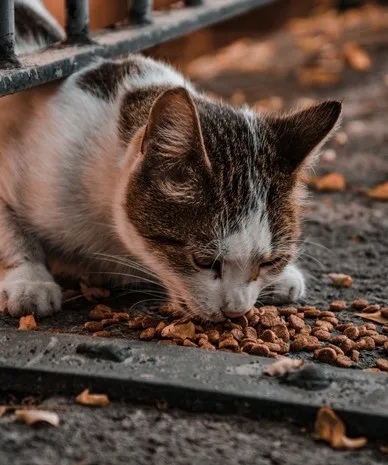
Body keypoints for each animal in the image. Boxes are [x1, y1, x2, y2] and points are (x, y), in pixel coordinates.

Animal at [0, 0, 342, 320]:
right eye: (204, 261)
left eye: (271, 261)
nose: (236, 311)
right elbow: (13, 233)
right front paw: (29, 280)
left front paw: (282, 278)